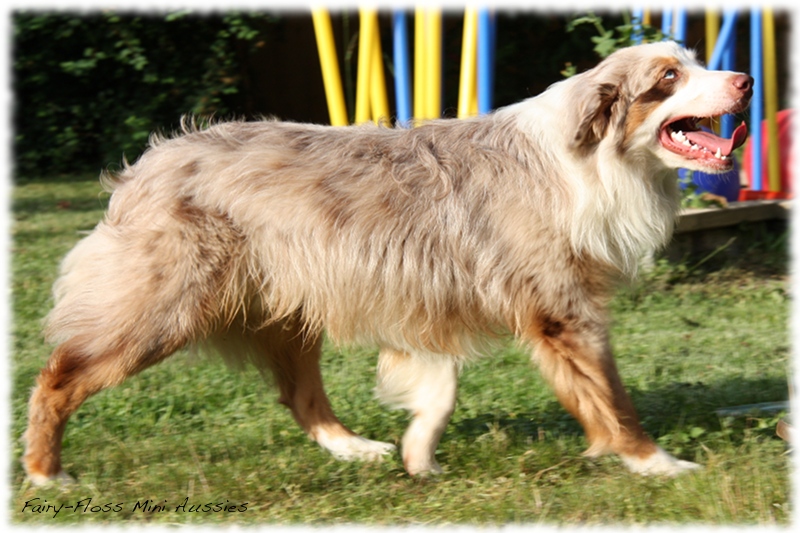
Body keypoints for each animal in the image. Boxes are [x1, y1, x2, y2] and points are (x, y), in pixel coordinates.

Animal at [23, 41, 752, 482]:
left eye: (693, 61)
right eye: (668, 78)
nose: (746, 78)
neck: (591, 158)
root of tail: (147, 163)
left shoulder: (433, 294)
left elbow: (440, 385)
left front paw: (417, 452)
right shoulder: (562, 310)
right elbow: (611, 397)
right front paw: (657, 462)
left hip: (288, 307)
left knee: (299, 392)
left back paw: (353, 447)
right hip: (160, 309)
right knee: (57, 376)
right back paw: (45, 474)